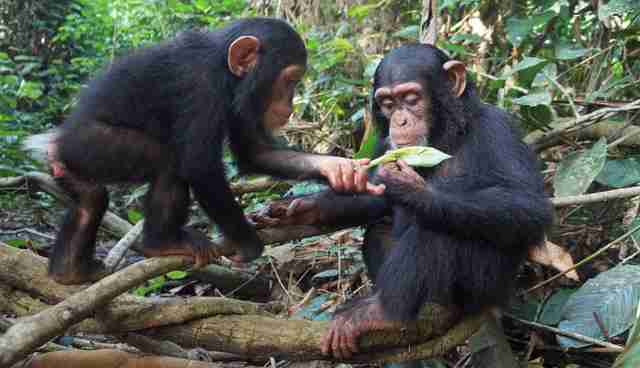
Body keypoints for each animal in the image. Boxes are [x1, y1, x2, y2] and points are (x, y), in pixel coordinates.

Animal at [25, 18, 382, 284]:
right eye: (289, 80)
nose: (290, 104)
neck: (225, 72)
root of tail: (57, 140)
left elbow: (254, 152)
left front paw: (338, 168)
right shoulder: (201, 86)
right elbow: (200, 166)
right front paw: (248, 244)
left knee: (92, 198)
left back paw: (70, 266)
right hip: (91, 145)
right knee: (168, 163)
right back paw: (161, 243)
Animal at [268, 43, 552, 360]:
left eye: (411, 98)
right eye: (388, 103)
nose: (400, 121)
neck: (447, 136)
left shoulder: (499, 130)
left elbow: (527, 205)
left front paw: (411, 188)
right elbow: (378, 197)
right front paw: (304, 209)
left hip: (483, 289)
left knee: (438, 230)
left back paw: (383, 312)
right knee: (380, 229)